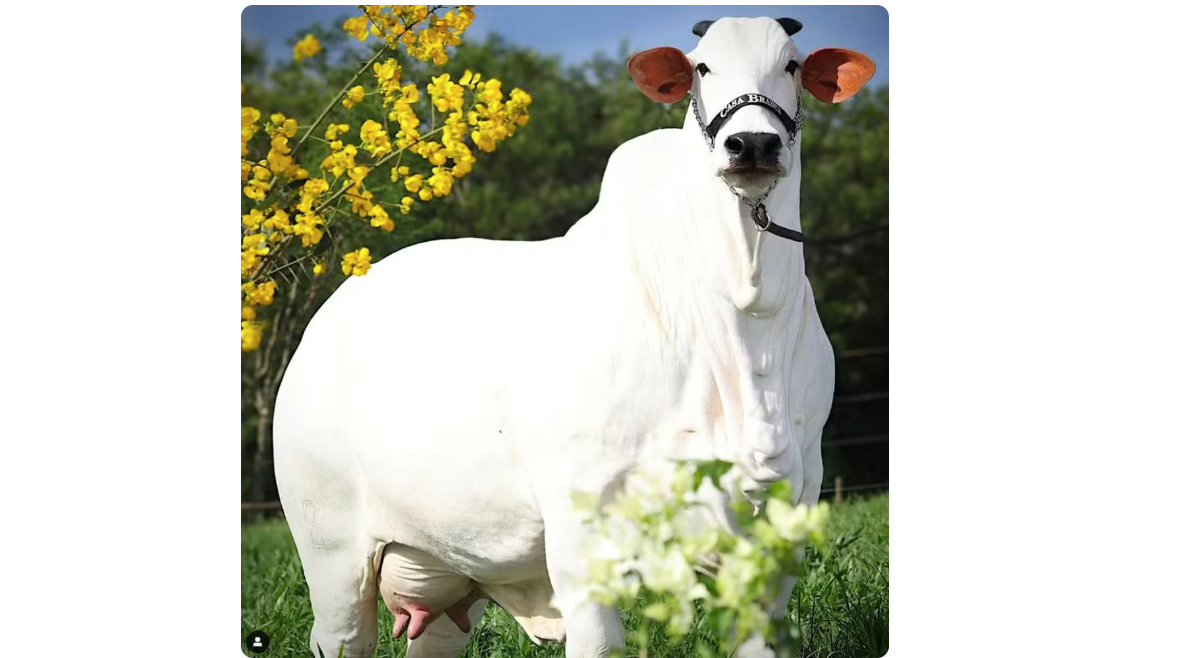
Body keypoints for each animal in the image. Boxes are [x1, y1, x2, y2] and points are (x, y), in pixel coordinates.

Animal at [272, 16, 874, 658]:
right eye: (702, 67)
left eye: (791, 65)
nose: (753, 144)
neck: (745, 315)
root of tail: (328, 312)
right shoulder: (579, 524)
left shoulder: (785, 520)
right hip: (331, 552)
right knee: (341, 631)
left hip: (449, 574)